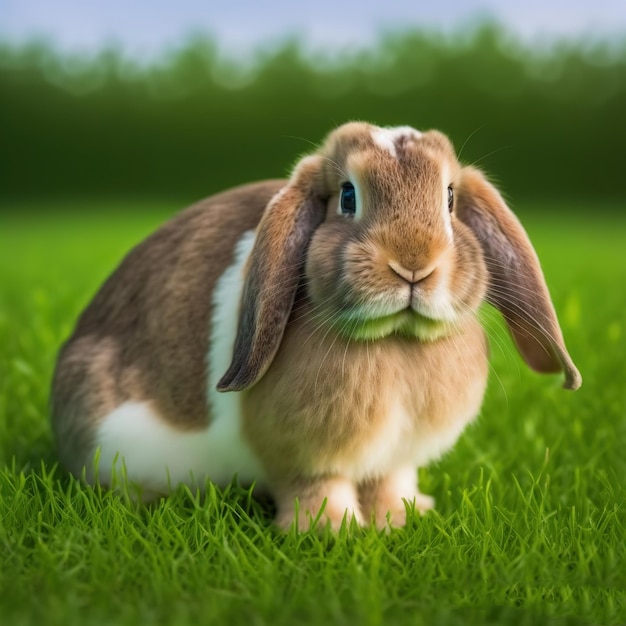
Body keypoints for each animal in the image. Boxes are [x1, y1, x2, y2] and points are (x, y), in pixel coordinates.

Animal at [50, 120, 580, 528]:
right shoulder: (303, 460)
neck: (396, 342)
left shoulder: (395, 458)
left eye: (449, 198)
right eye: (347, 196)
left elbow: (390, 483)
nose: (414, 264)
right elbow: (317, 488)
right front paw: (333, 532)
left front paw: (400, 518)